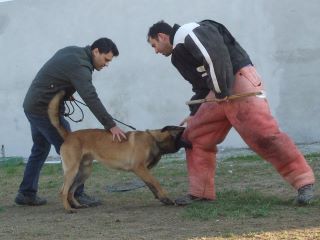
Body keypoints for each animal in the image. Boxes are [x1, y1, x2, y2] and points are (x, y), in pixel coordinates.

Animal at [47, 91, 188, 213]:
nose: (191, 142)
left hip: (84, 172)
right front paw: (167, 198)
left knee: (71, 191)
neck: (154, 139)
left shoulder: (144, 171)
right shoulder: (139, 168)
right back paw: (68, 209)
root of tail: (69, 135)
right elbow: (156, 183)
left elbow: (151, 185)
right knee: (63, 191)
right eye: (183, 135)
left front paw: (163, 199)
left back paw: (77, 205)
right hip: (72, 170)